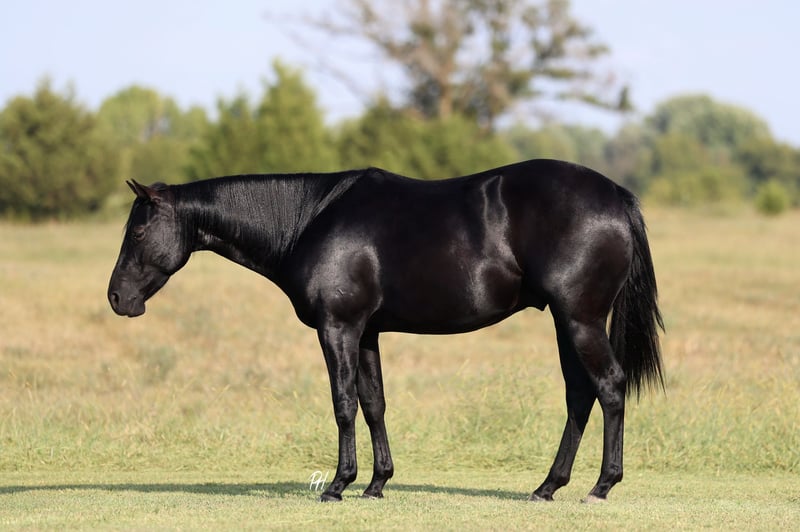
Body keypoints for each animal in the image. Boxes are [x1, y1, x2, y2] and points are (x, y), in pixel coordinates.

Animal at [108, 159, 663, 503]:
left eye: (138, 230)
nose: (117, 298)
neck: (309, 220)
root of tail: (616, 196)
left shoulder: (337, 328)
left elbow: (343, 404)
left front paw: (339, 485)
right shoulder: (368, 333)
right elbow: (374, 404)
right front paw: (377, 484)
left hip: (579, 319)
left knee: (610, 388)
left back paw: (601, 486)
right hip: (567, 322)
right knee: (579, 396)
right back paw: (548, 486)